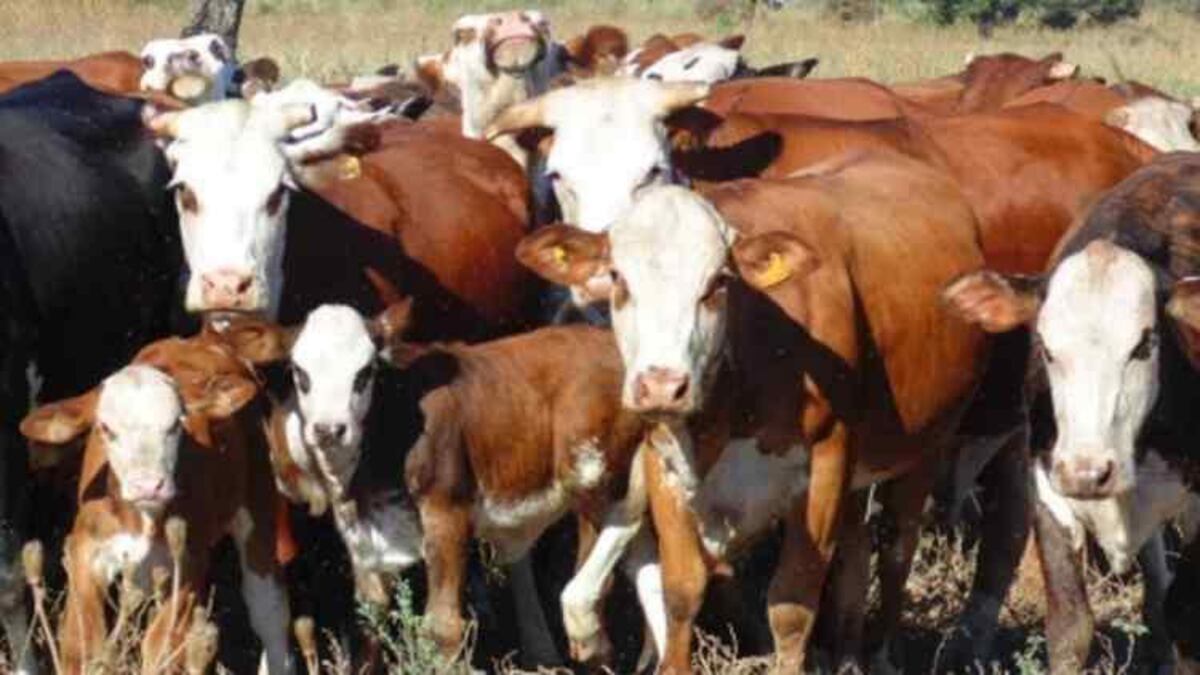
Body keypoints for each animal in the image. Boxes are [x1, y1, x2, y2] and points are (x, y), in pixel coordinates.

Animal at [18, 333, 292, 674]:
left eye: (176, 425)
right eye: (106, 428)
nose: (148, 485)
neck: (141, 519)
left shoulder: (188, 562)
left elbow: (160, 647)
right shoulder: (85, 550)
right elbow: (84, 645)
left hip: (259, 503)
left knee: (268, 610)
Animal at [518, 150, 1003, 672]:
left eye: (717, 283)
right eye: (618, 279)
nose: (663, 386)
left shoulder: (827, 462)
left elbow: (792, 605)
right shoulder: (664, 460)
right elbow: (680, 592)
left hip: (928, 444)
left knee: (897, 548)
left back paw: (877, 654)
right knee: (855, 555)